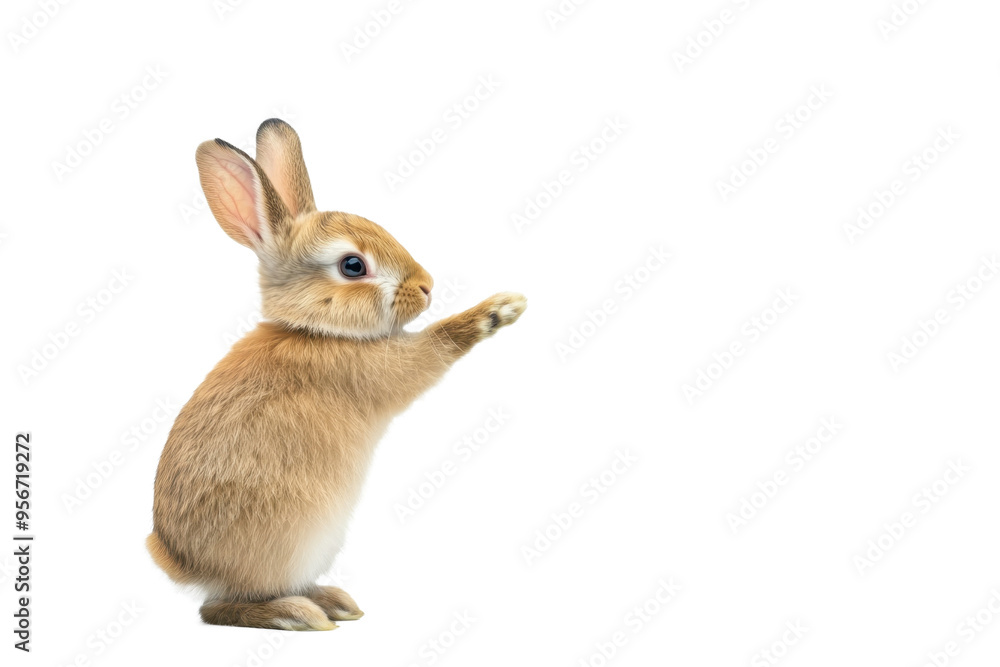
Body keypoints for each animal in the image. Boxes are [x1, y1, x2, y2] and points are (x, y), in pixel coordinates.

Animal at [147, 118, 526, 631]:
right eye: (352, 266)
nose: (427, 286)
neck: (316, 330)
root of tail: (183, 565)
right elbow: (434, 347)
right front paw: (500, 309)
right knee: (219, 608)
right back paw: (298, 615)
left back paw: (334, 602)